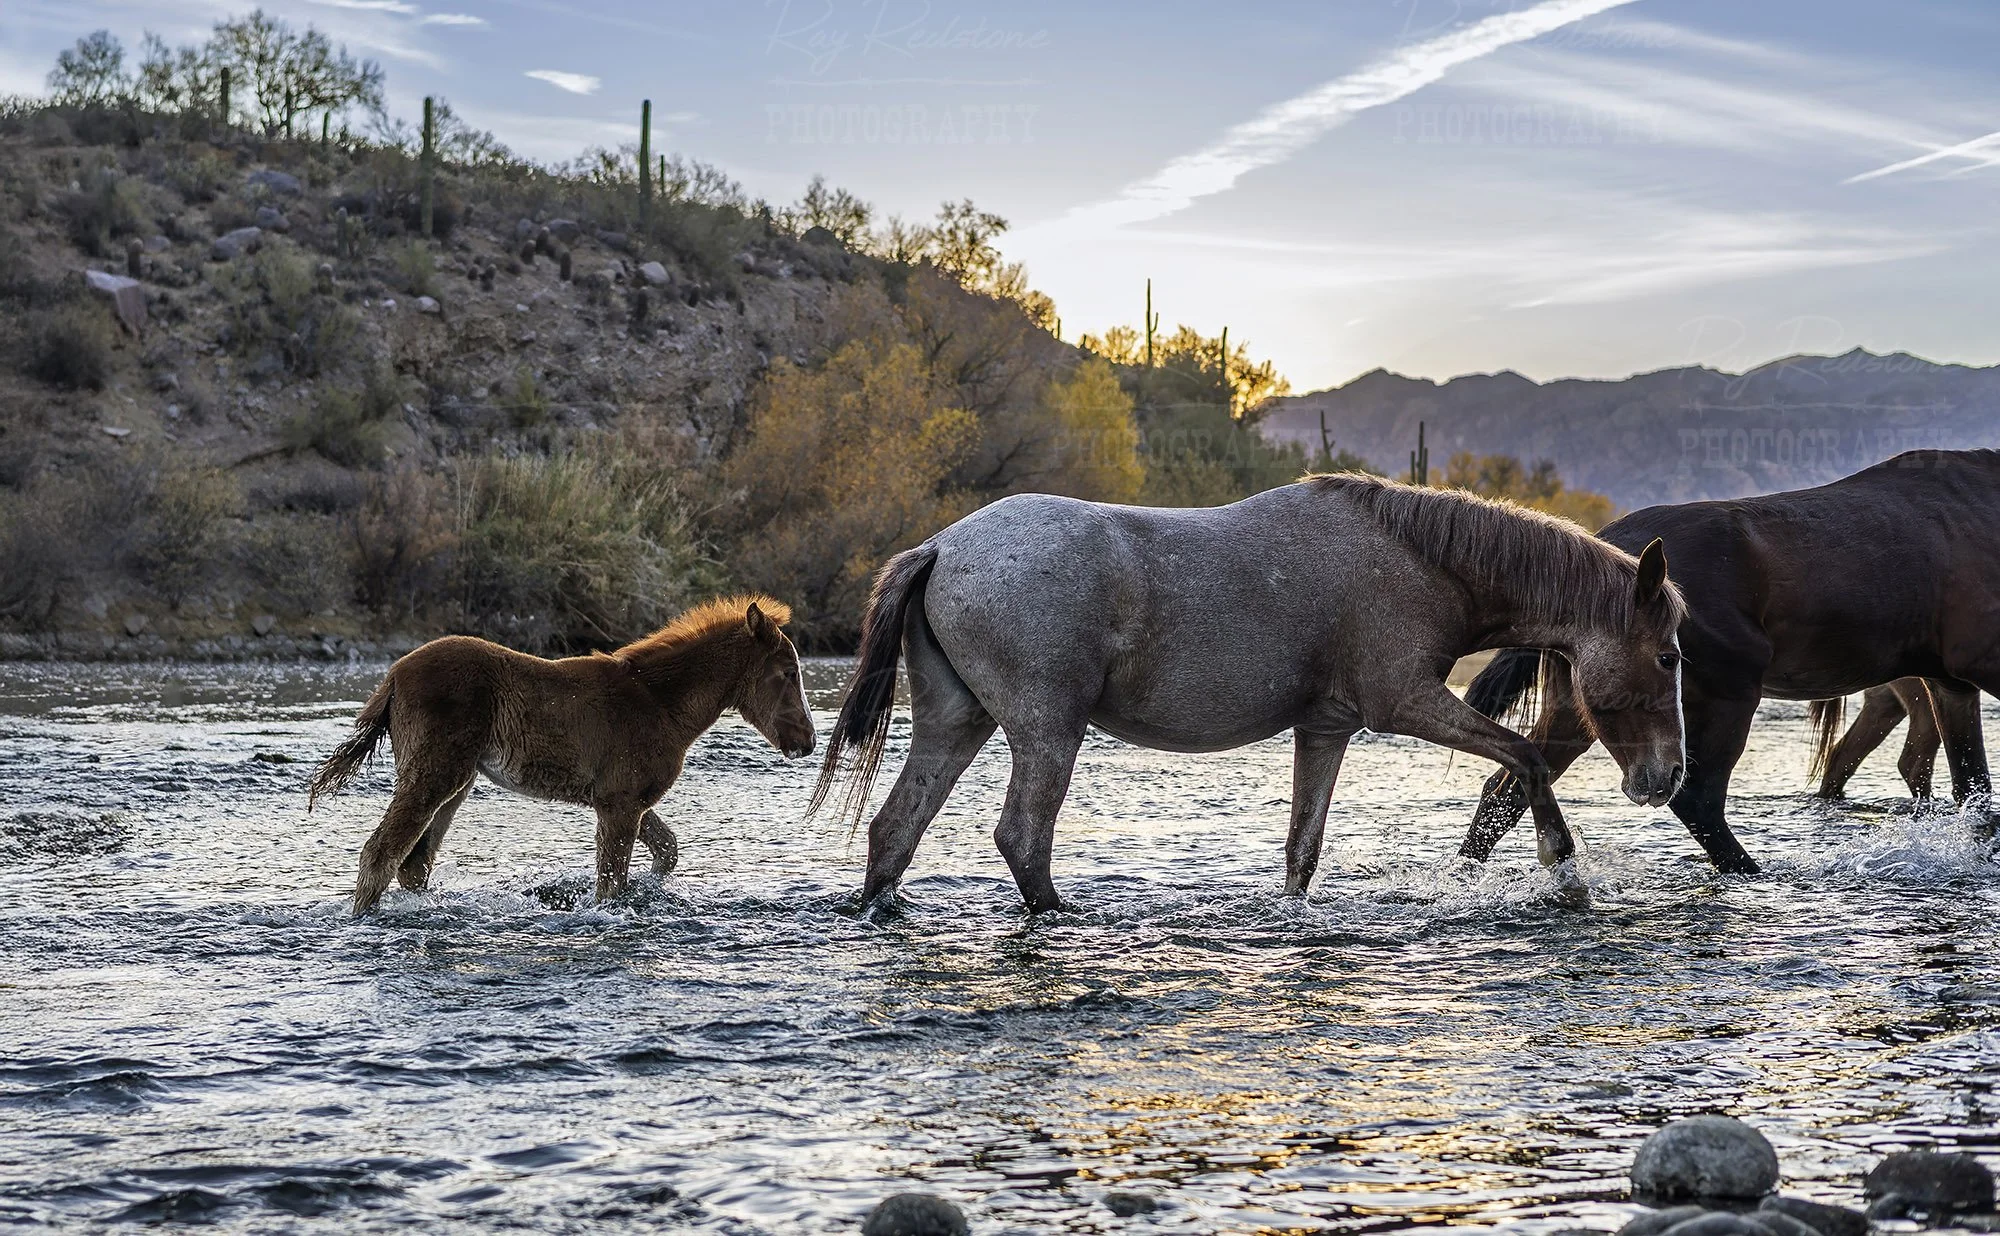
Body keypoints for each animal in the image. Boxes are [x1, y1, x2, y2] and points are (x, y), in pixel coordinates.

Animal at [309, 597, 816, 915]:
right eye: (788, 673)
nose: (807, 740)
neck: (661, 702)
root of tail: (393, 675)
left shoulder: (622, 797)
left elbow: (667, 850)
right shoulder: (619, 801)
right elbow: (610, 885)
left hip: (456, 781)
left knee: (414, 863)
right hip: (434, 772)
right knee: (381, 853)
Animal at [811, 473, 1688, 914]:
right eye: (1670, 654)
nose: (1669, 776)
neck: (1417, 558)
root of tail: (940, 545)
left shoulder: (1327, 728)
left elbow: (1302, 848)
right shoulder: (1404, 702)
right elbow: (1526, 762)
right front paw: (1565, 871)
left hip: (957, 723)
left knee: (895, 829)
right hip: (1046, 730)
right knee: (1023, 838)